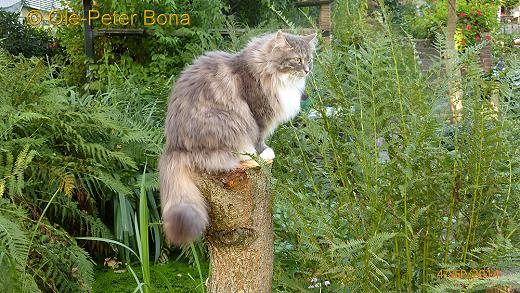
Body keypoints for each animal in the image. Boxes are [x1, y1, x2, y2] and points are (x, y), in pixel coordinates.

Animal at [157, 30, 316, 244]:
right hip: (228, 123)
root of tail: (174, 146)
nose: (307, 70)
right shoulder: (258, 114)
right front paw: (263, 153)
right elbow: (259, 138)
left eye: (309, 59)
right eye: (297, 60)